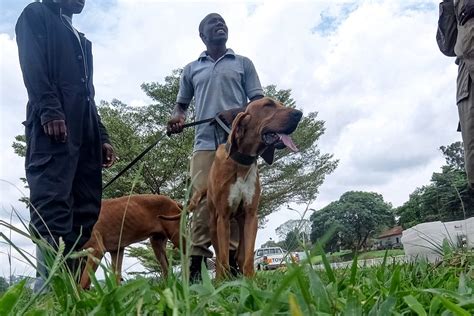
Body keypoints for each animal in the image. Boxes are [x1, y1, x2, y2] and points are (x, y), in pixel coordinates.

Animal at [208, 97, 304, 278]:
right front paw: (223, 282)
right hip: (214, 224)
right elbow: (223, 257)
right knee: (220, 257)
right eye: (268, 105)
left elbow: (248, 257)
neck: (241, 162)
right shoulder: (223, 217)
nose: (299, 113)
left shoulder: (251, 216)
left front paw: (251, 280)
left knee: (239, 255)